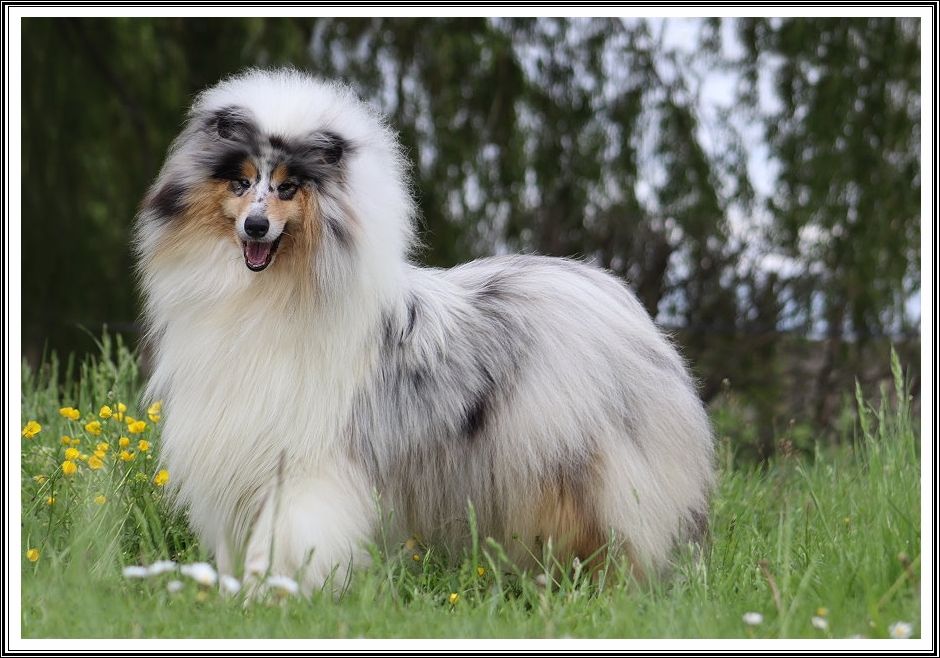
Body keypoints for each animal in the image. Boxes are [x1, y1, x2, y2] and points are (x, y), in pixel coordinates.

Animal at [134, 69, 712, 592]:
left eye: (288, 187)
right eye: (240, 182)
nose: (255, 226)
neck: (265, 294)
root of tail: (624, 307)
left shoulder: (305, 465)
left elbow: (286, 539)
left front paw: (270, 595)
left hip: (584, 468)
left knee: (615, 538)